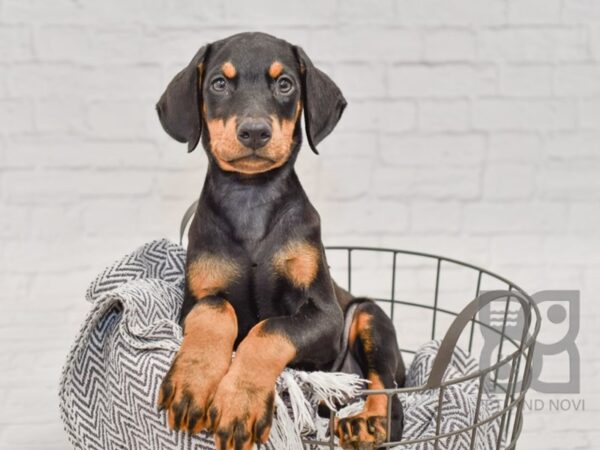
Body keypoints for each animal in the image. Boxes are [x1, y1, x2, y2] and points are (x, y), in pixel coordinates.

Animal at [155, 32, 406, 450]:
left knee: (389, 390)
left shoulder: (325, 316)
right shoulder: (193, 301)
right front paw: (193, 382)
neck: (251, 196)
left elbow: (270, 330)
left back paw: (368, 423)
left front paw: (239, 403)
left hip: (369, 316)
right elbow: (215, 310)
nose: (255, 132)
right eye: (218, 84)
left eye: (285, 84)